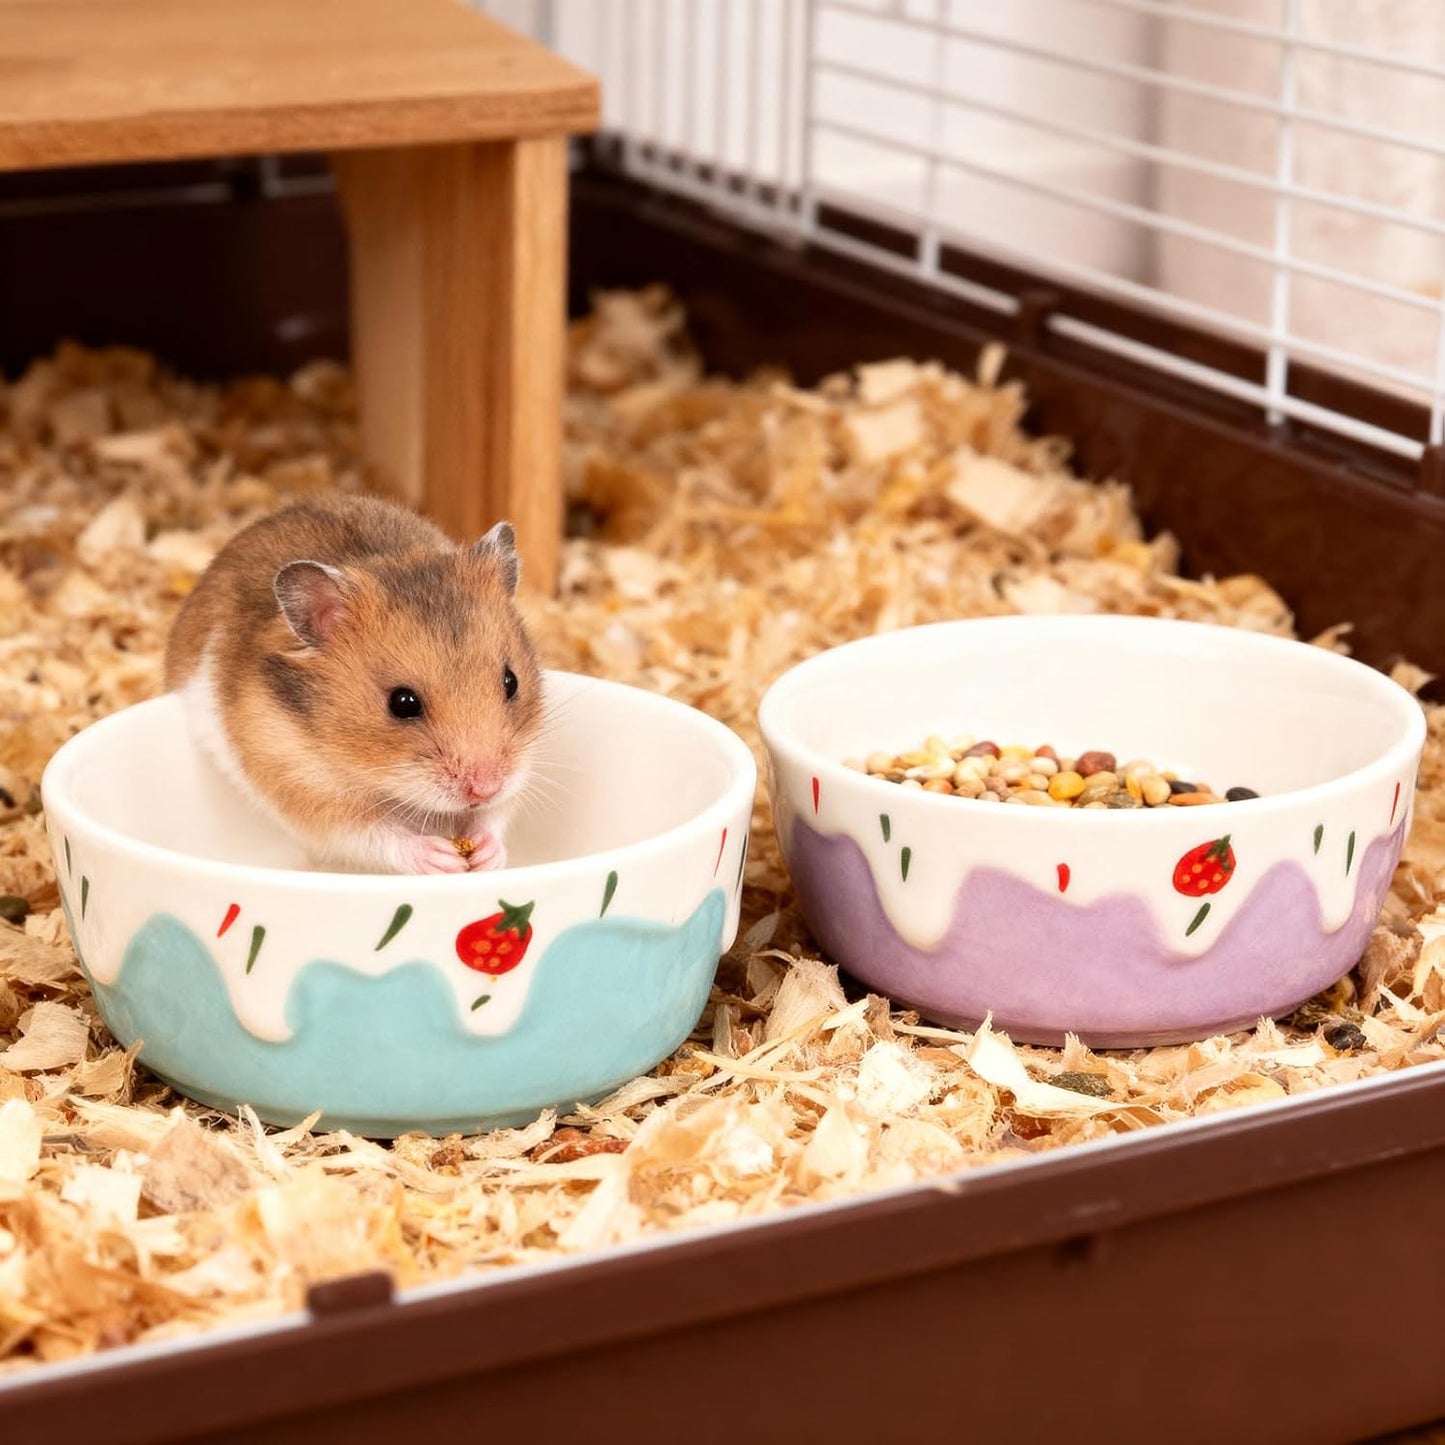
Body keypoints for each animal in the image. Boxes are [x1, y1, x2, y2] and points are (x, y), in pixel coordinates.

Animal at [163, 493, 544, 875]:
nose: (486, 788)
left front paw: (486, 855)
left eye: (511, 682)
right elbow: (375, 835)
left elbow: (495, 815)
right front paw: (441, 858)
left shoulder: (520, 766)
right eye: (403, 703)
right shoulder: (302, 786)